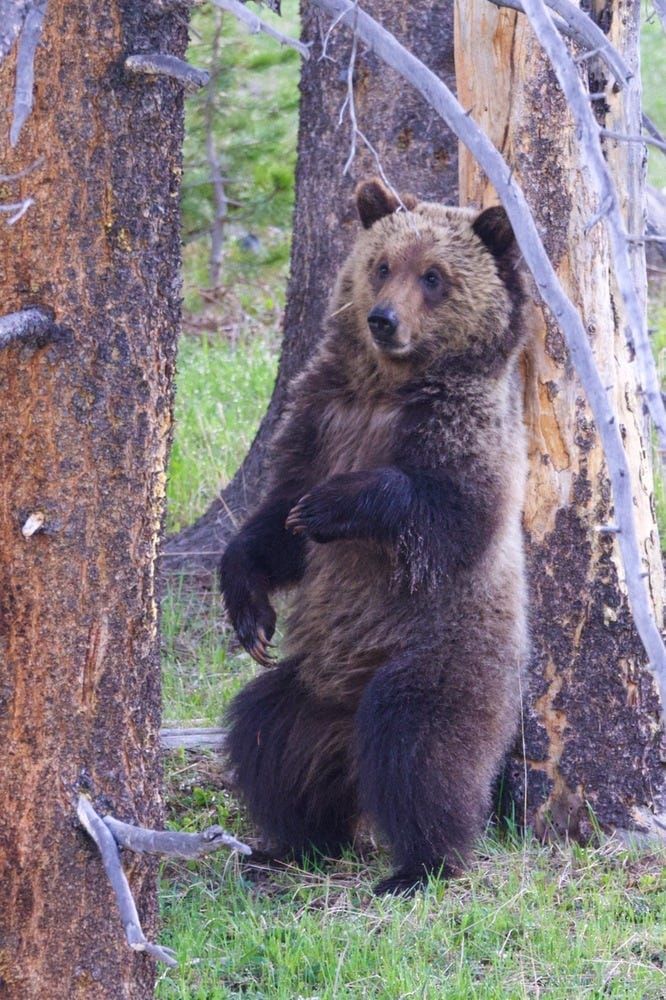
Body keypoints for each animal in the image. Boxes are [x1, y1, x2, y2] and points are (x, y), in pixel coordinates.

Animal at [219, 177, 529, 895]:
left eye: (435, 276)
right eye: (382, 265)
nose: (382, 319)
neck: (385, 389)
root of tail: (345, 718)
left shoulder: (464, 432)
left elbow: (453, 513)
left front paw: (332, 507)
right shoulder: (318, 417)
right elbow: (276, 520)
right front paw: (249, 609)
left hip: (437, 657)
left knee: (419, 748)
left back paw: (418, 865)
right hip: (307, 692)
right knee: (267, 737)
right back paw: (294, 840)